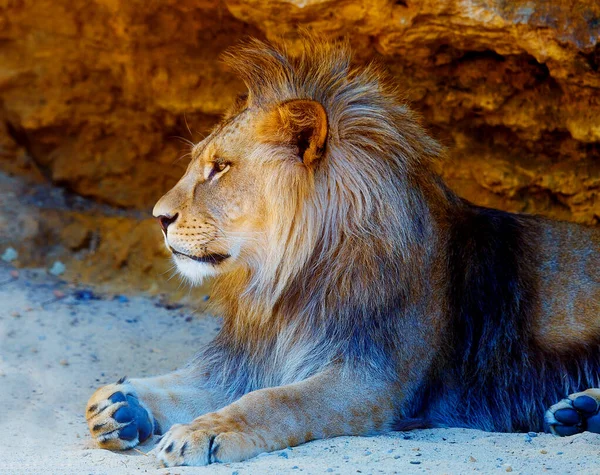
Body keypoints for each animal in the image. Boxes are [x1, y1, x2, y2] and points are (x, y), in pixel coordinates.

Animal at [85, 38, 600, 468]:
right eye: (200, 164)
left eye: (220, 168)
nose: (158, 216)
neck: (285, 284)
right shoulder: (249, 358)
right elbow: (185, 381)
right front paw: (121, 403)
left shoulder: (371, 380)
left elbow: (275, 401)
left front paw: (203, 432)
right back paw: (579, 412)